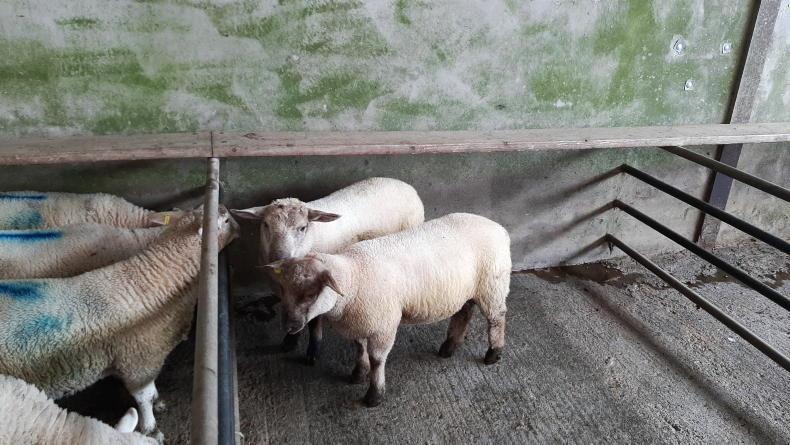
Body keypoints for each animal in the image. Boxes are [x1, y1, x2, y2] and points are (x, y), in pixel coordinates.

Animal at [232, 177, 424, 364]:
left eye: (302, 228)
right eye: (266, 224)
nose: (279, 258)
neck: (311, 237)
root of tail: (405, 185)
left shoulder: (322, 285)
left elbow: (314, 321)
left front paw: (313, 349)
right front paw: (290, 340)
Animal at [263, 212, 511, 407]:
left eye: (311, 294)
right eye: (283, 290)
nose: (289, 326)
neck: (353, 277)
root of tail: (498, 227)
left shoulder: (383, 326)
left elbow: (377, 360)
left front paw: (374, 395)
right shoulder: (360, 322)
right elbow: (359, 349)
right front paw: (358, 375)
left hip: (493, 284)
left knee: (496, 318)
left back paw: (493, 353)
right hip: (467, 289)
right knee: (464, 313)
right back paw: (449, 348)